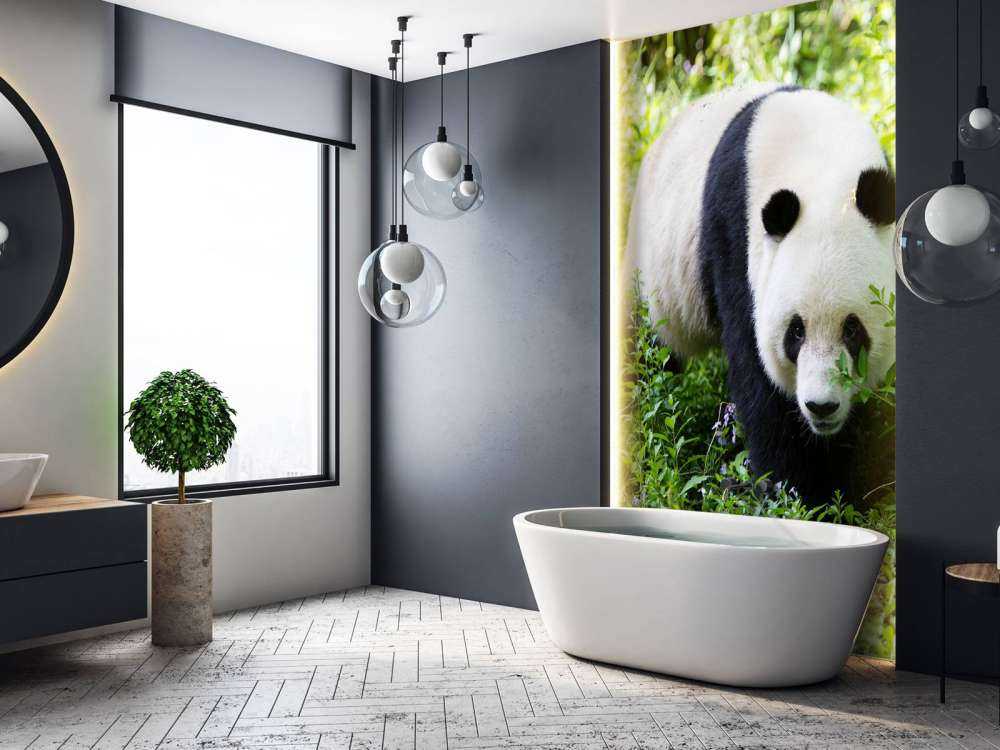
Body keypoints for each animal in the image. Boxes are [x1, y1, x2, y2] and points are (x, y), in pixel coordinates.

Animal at [624, 83, 896, 505]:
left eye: (853, 329)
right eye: (796, 331)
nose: (821, 406)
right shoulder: (736, 239)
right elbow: (761, 381)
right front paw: (799, 492)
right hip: (655, 270)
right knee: (647, 347)